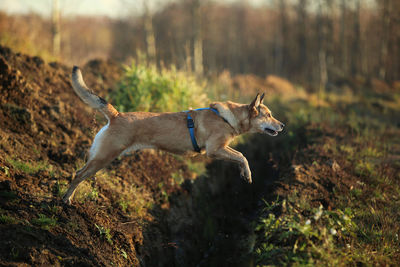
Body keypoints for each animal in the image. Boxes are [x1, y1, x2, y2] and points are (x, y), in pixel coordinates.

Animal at [62, 67, 284, 205]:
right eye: (268, 115)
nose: (283, 125)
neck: (229, 118)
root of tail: (117, 115)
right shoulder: (215, 150)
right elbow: (242, 156)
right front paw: (247, 174)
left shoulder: (220, 149)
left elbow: (239, 156)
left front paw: (244, 173)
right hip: (104, 156)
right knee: (78, 174)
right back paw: (66, 200)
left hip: (101, 156)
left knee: (80, 172)